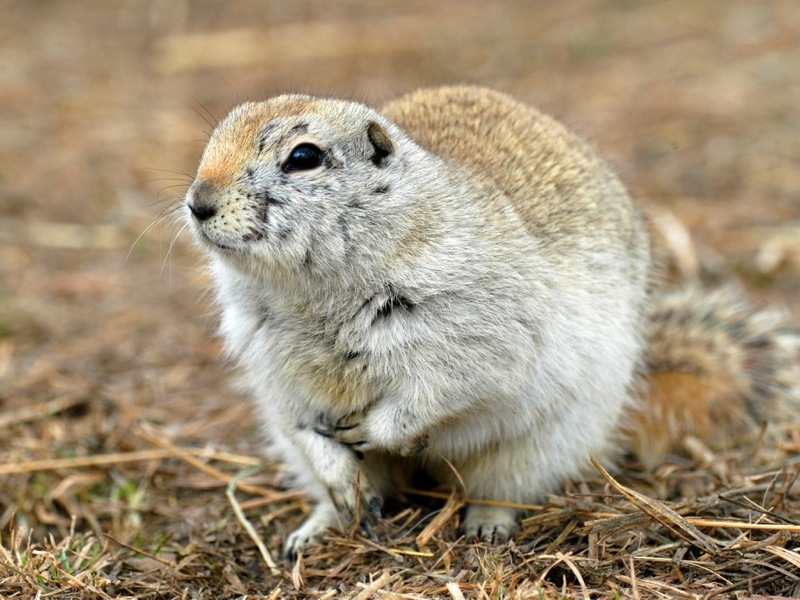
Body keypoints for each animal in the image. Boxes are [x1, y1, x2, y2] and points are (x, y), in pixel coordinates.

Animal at [184, 86, 799, 559]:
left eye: (303, 156)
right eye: (215, 138)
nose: (198, 203)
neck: (313, 293)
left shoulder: (477, 333)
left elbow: (443, 389)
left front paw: (376, 430)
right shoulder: (270, 360)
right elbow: (301, 423)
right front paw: (339, 474)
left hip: (543, 445)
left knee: (503, 489)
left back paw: (486, 525)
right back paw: (322, 524)